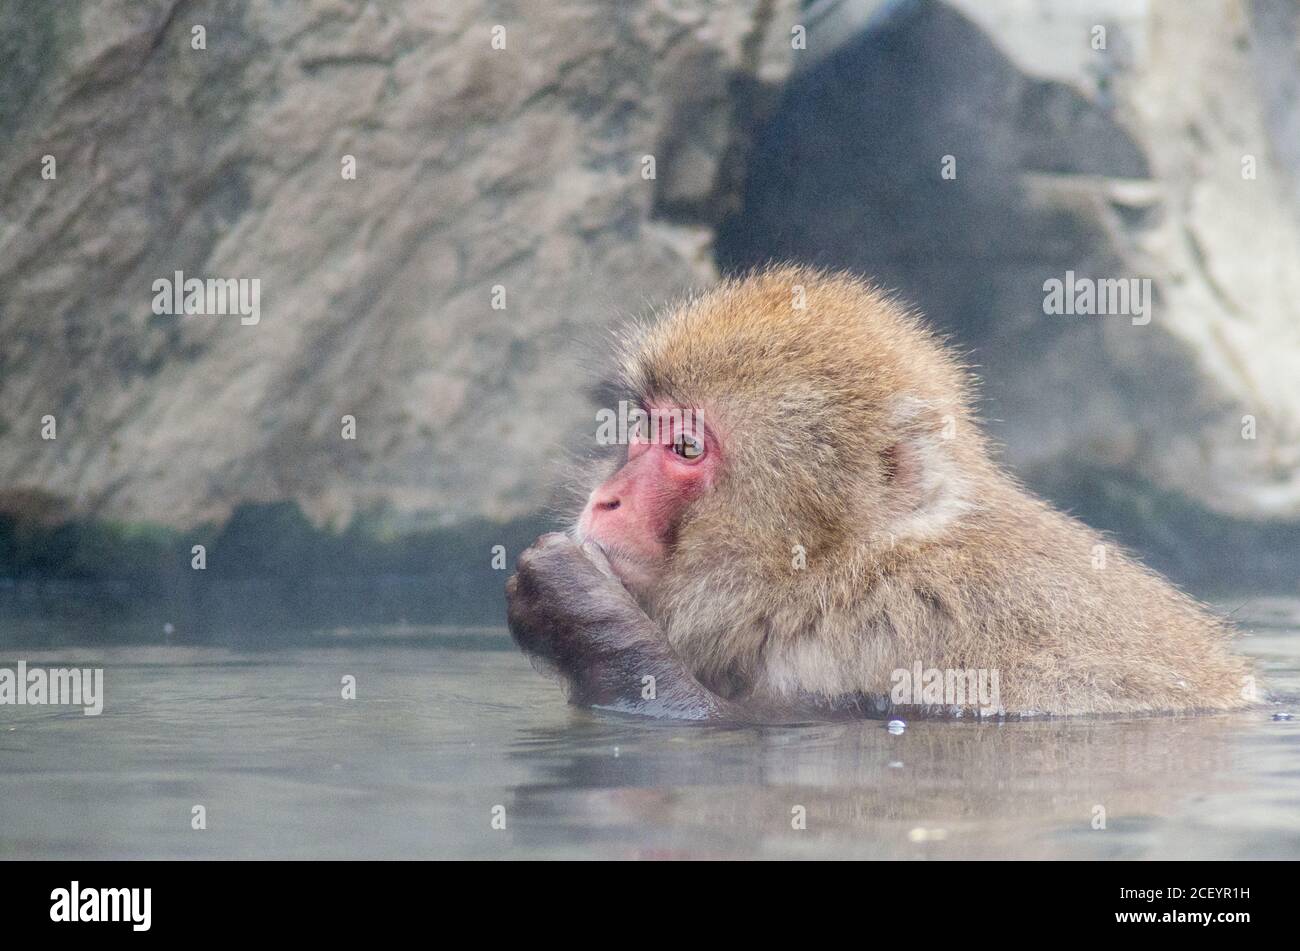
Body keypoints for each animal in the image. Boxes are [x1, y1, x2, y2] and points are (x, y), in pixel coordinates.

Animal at [504, 267, 1248, 722]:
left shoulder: (889, 645)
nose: (607, 500)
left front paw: (579, 609)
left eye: (686, 448)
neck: (844, 573)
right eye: (643, 425)